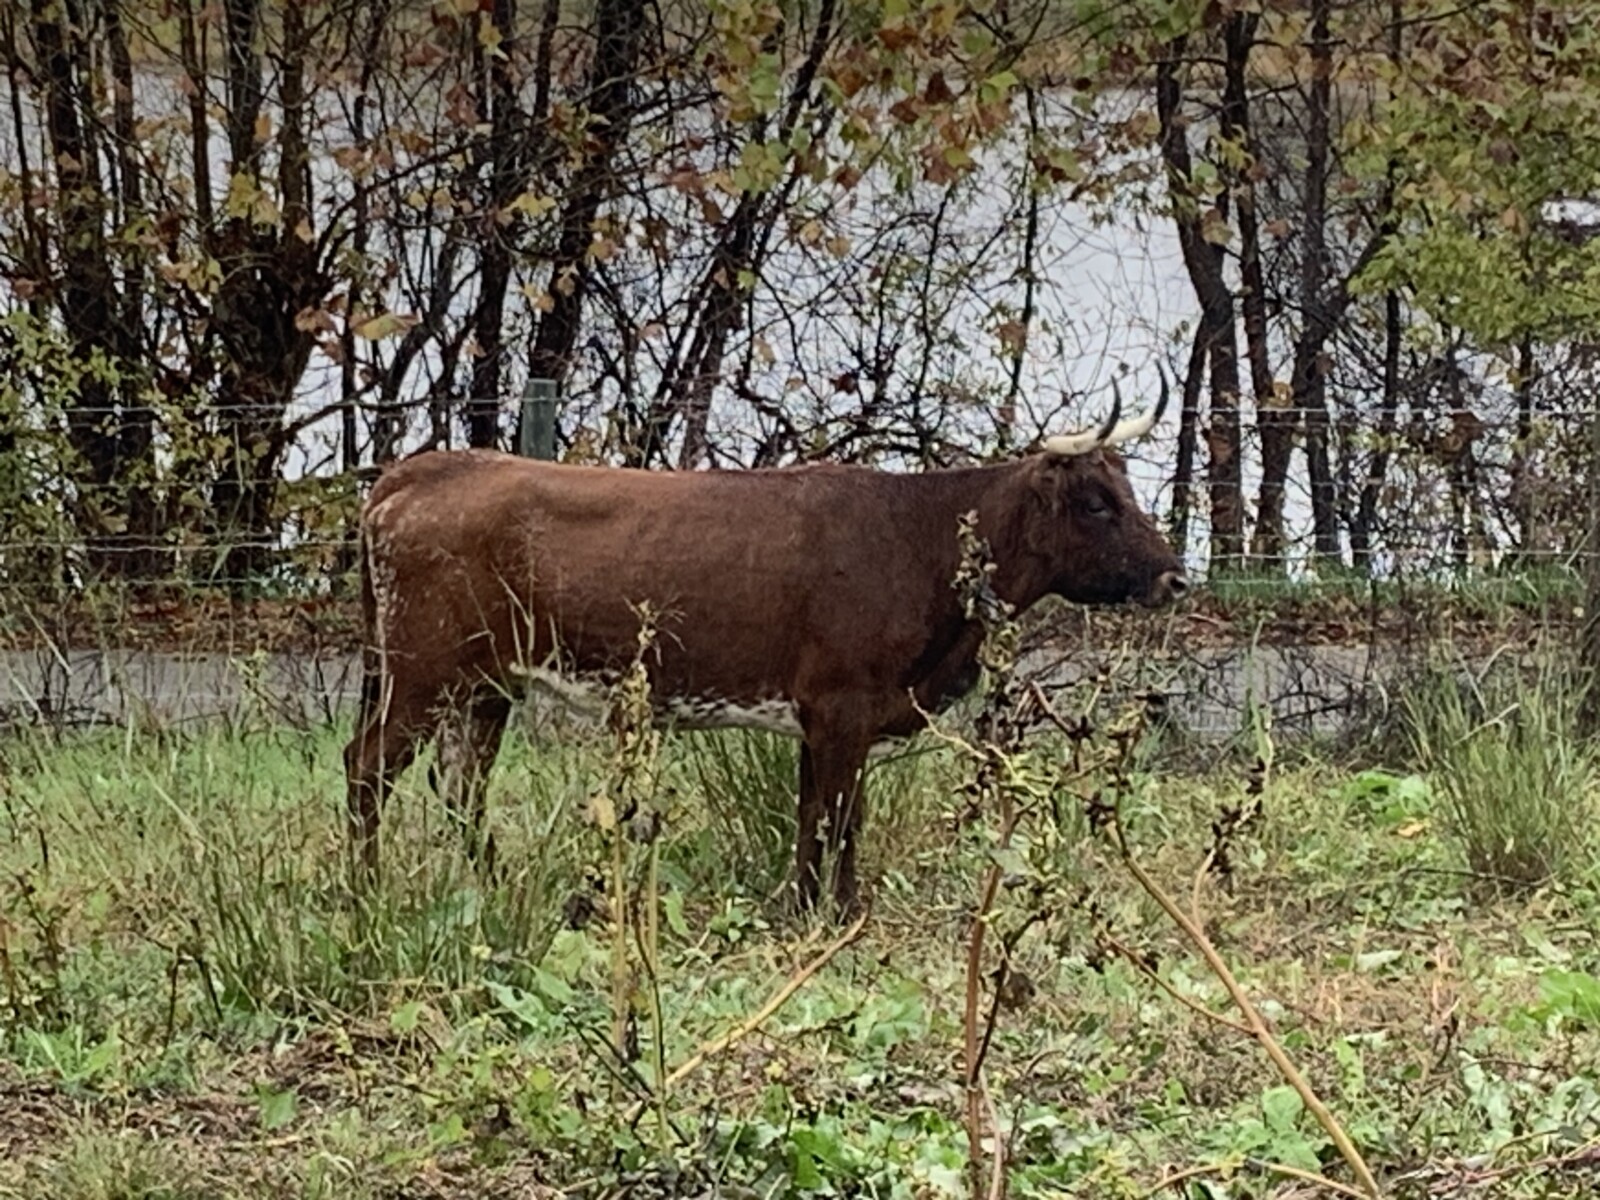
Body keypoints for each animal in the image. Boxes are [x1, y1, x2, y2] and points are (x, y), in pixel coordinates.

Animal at [343, 374, 1187, 915]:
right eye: (1097, 501)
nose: (1175, 577)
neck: (917, 536)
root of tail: (415, 471)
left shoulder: (823, 718)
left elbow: (815, 813)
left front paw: (806, 905)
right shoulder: (844, 707)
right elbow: (842, 815)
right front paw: (835, 915)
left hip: (486, 685)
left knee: (459, 785)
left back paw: (501, 885)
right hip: (421, 673)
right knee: (369, 769)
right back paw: (368, 894)